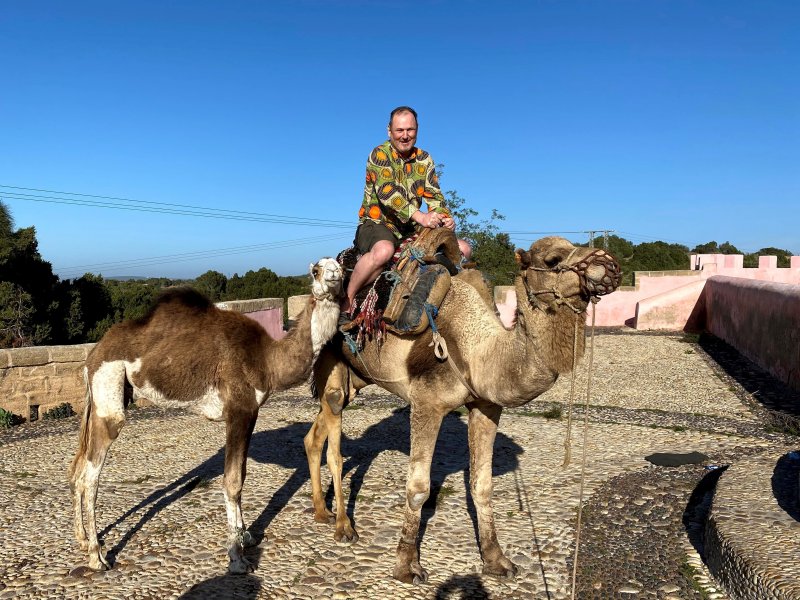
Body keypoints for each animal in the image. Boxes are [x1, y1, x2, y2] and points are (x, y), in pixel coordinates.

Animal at [70, 256, 342, 572]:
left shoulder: (251, 413)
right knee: (90, 475)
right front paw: (237, 557)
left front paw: (246, 537)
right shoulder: (239, 409)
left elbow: (240, 475)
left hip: (101, 398)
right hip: (109, 393)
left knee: (79, 469)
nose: (334, 275)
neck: (267, 359)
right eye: (316, 270)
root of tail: (92, 357)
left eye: (341, 264)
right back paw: (97, 556)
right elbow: (233, 481)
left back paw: (82, 540)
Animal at [304, 237, 620, 584]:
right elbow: (418, 488)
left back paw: (321, 511)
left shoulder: (486, 406)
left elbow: (482, 485)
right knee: (334, 445)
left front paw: (497, 561)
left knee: (313, 438)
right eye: (553, 259)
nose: (608, 265)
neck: (479, 352)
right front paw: (407, 566)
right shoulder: (426, 403)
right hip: (330, 365)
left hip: (355, 380)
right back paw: (343, 528)